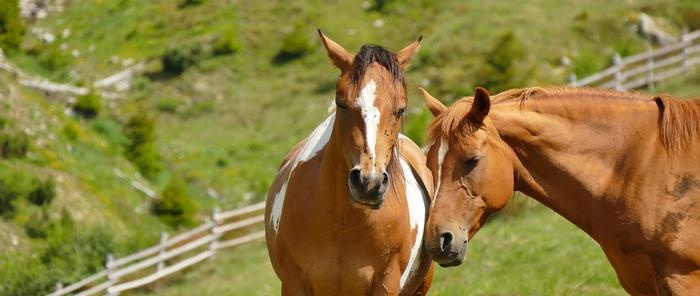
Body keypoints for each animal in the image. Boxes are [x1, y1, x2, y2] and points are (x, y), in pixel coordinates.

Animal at [266, 31, 434, 294]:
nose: (368, 183)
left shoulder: (386, 283)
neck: (345, 224)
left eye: (400, 110)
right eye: (341, 103)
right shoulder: (294, 283)